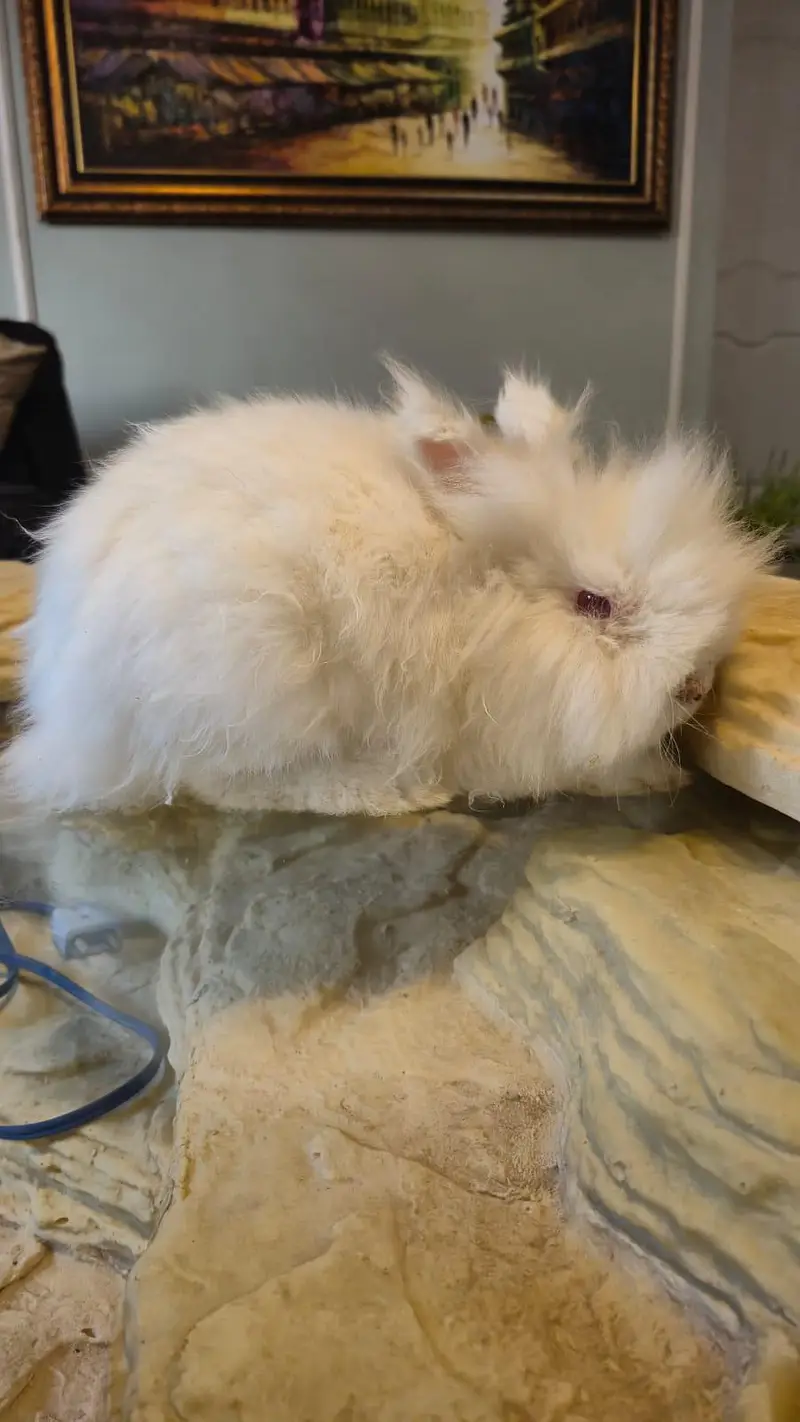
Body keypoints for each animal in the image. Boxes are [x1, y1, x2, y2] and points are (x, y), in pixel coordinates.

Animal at [3, 361, 769, 818]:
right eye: (593, 603)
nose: (697, 686)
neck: (483, 602)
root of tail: (68, 723)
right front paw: (654, 778)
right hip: (253, 686)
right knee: (223, 783)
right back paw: (385, 794)